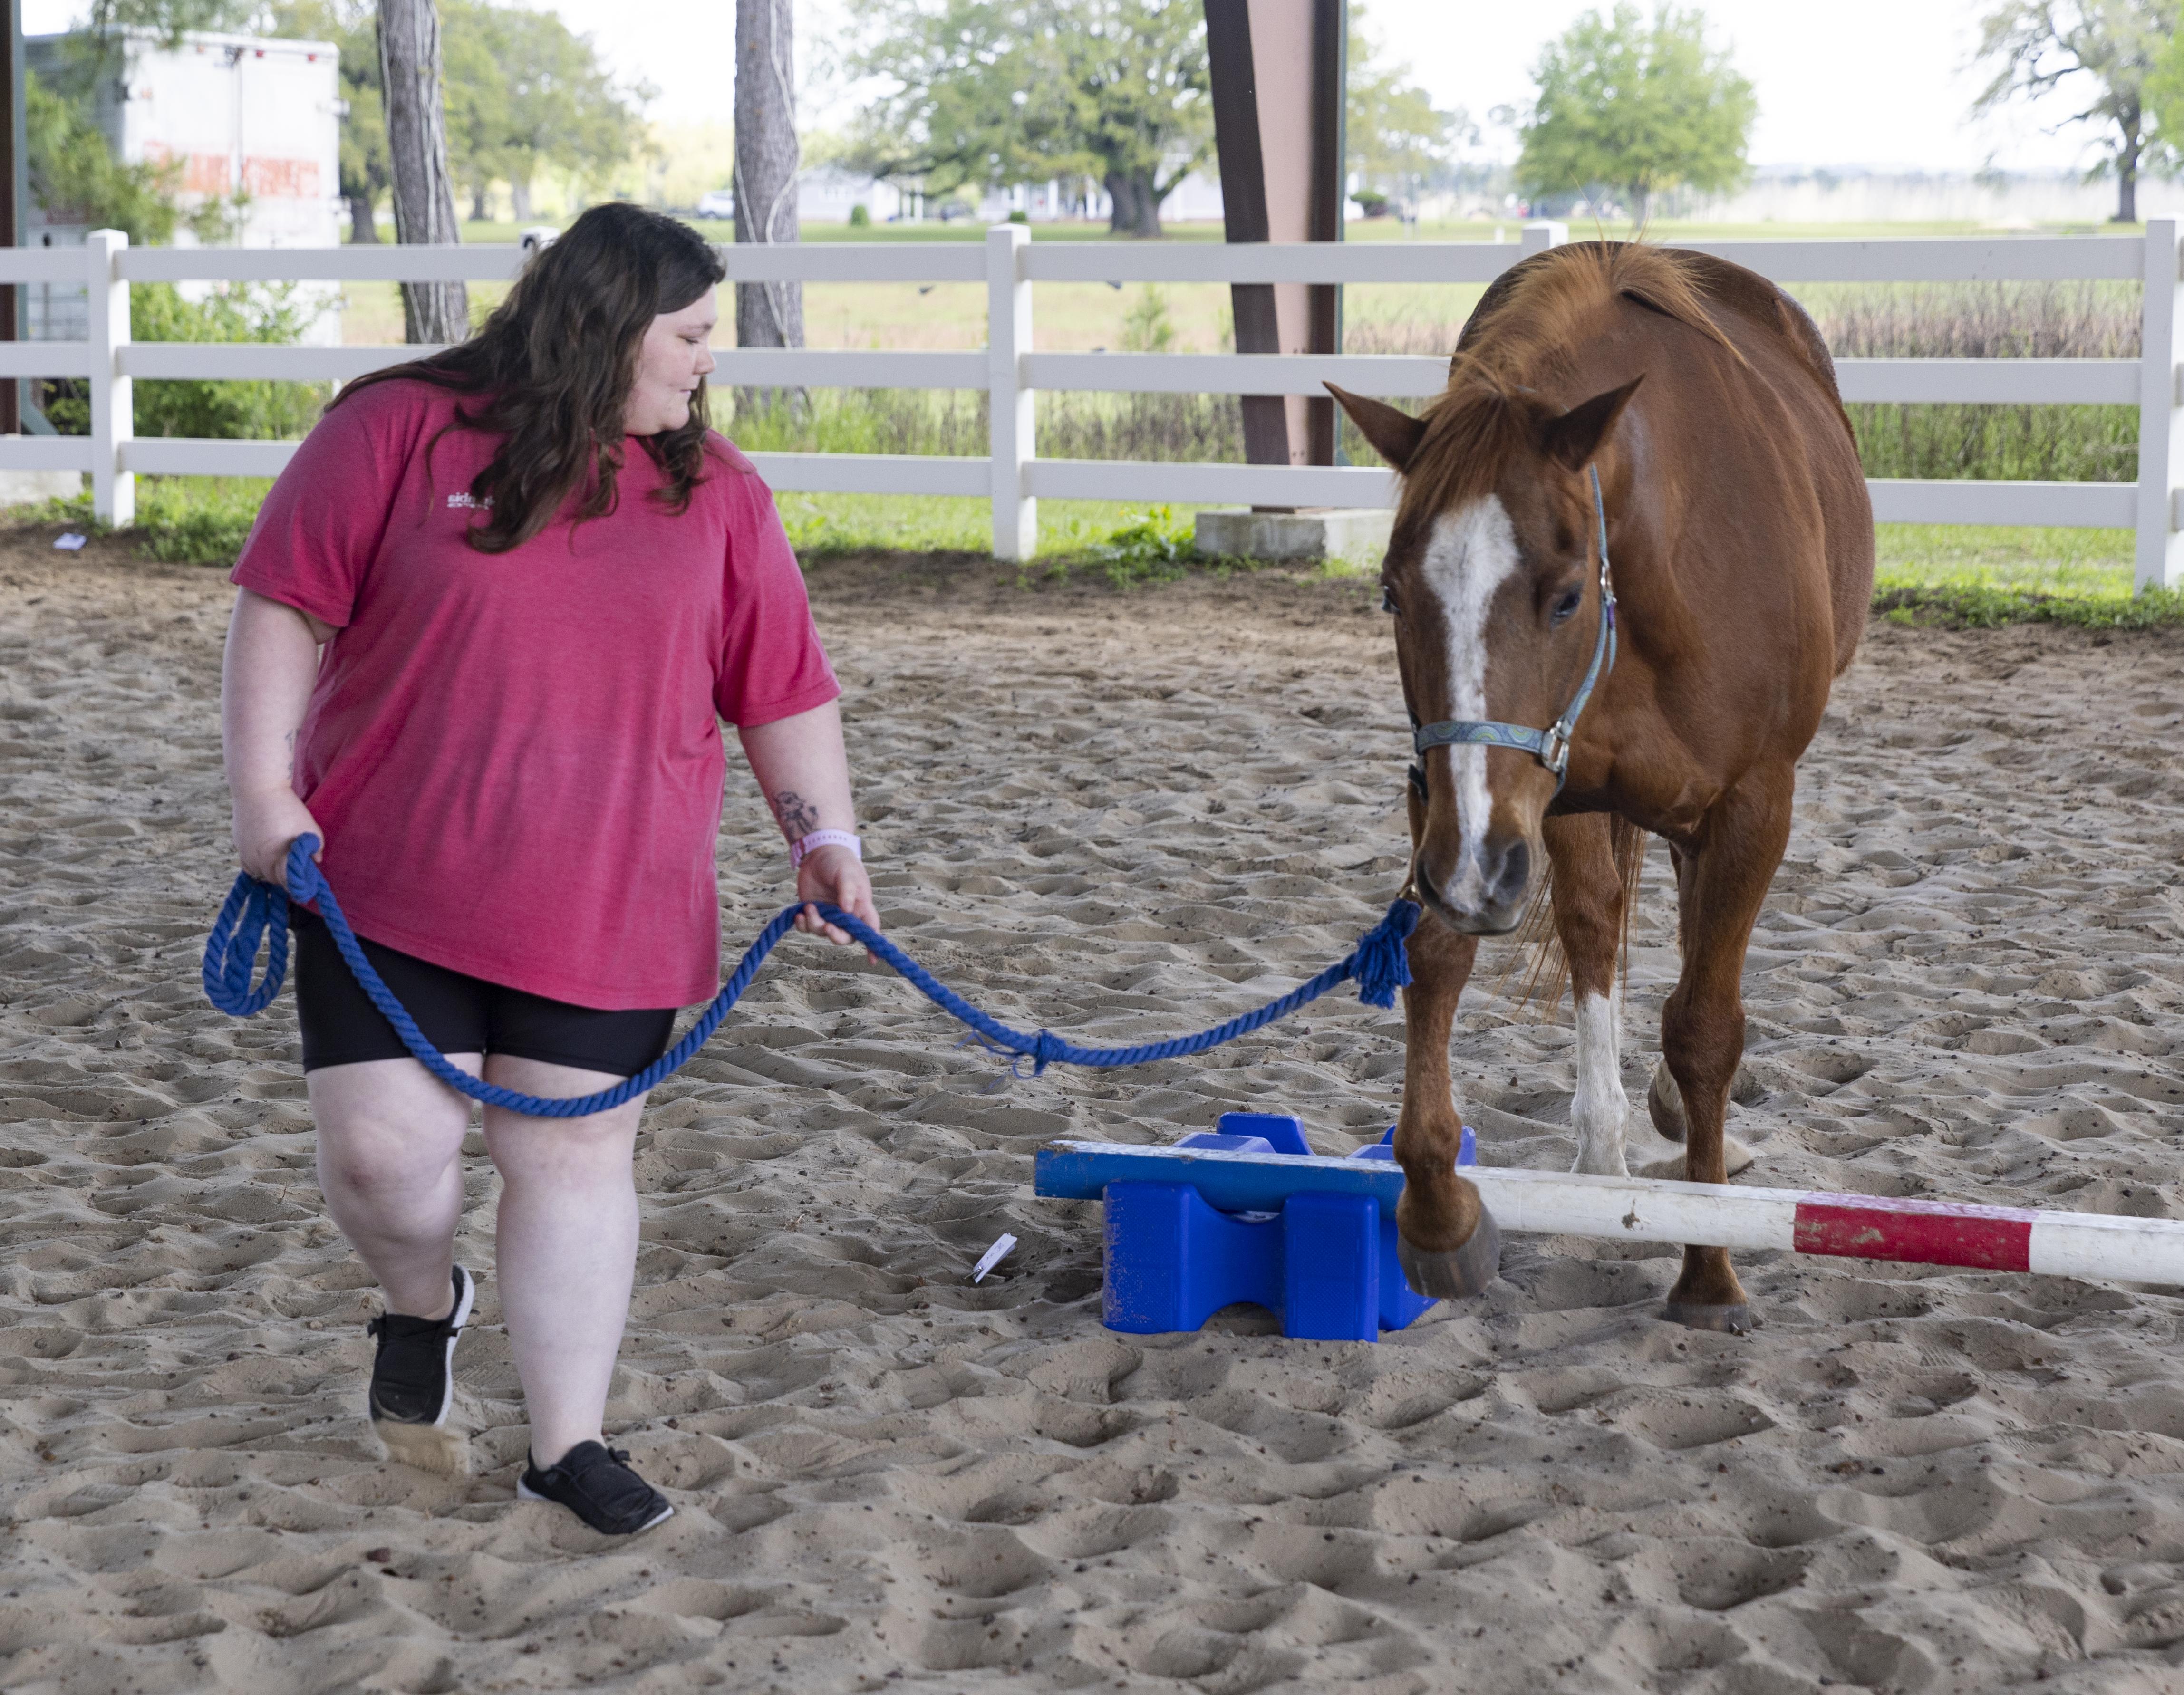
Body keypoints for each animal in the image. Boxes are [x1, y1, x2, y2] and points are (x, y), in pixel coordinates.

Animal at [1328, 238, 1878, 1328]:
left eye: (1564, 594)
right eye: (1391, 593)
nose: (1472, 871)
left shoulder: (1751, 805)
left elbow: (1705, 1025)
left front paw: (1707, 1272)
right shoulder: (1460, 799)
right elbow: (1439, 959)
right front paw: (1438, 1210)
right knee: (1595, 926)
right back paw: (1602, 1147)